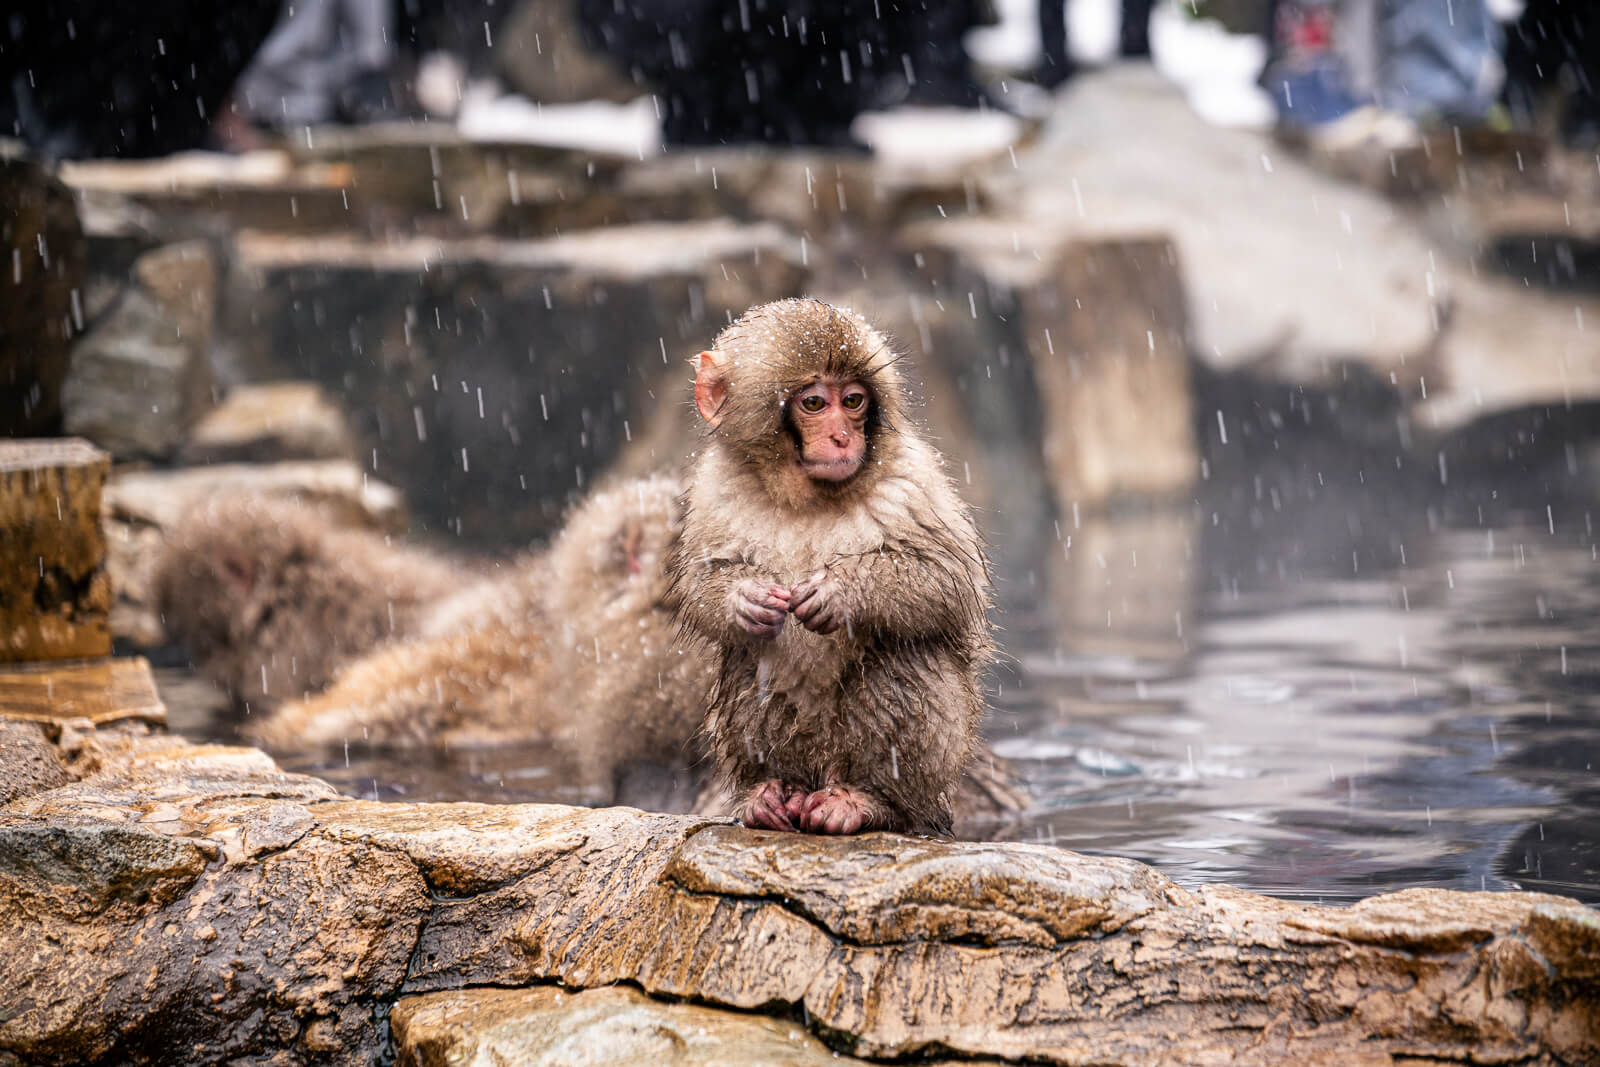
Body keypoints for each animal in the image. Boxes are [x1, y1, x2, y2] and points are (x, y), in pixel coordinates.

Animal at [665, 298, 995, 836]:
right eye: (815, 403)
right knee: (746, 658)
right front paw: (744, 600)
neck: (807, 495)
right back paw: (769, 792)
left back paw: (869, 802)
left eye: (854, 400)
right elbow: (700, 580)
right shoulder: (714, 483)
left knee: (903, 652)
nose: (842, 437)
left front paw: (838, 594)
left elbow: (946, 578)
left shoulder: (911, 477)